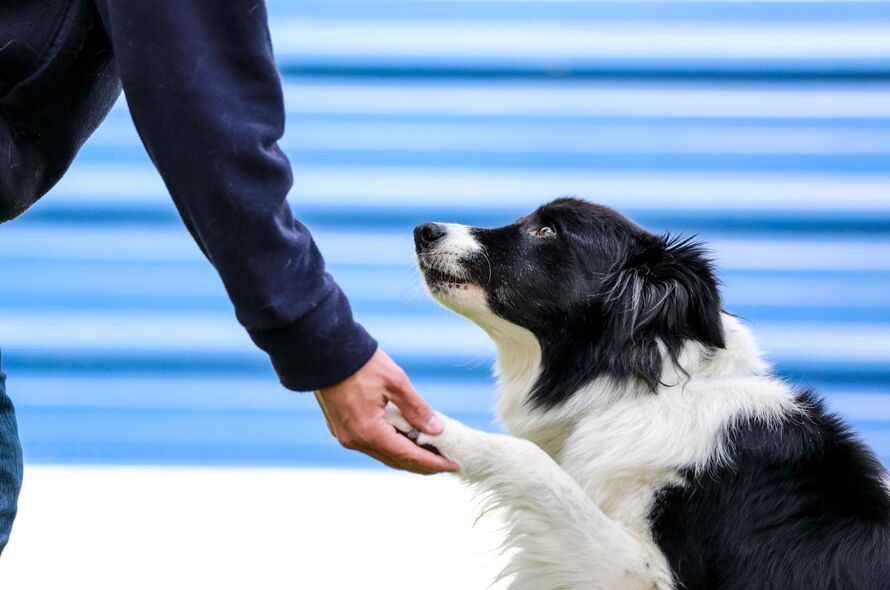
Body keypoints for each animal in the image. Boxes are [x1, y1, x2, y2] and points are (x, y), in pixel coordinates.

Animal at [384, 200, 888, 590]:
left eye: (546, 230)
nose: (423, 230)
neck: (637, 393)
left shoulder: (646, 573)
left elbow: (536, 466)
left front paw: (434, 428)